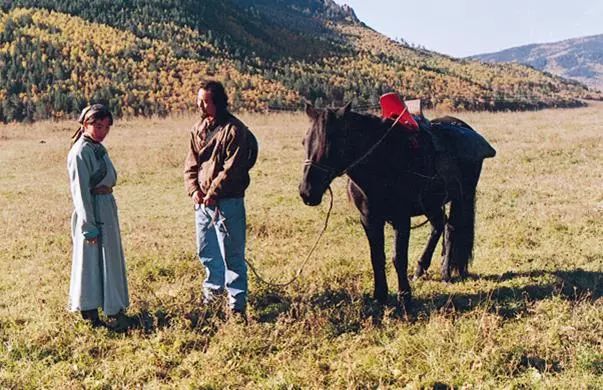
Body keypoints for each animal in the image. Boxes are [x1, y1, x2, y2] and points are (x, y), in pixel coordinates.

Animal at [300, 102, 496, 306]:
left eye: (332, 143)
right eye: (304, 142)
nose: (307, 191)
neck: (383, 163)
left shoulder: (401, 219)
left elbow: (398, 258)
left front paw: (404, 297)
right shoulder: (369, 219)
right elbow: (377, 257)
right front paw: (380, 295)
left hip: (462, 196)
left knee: (452, 228)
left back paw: (445, 271)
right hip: (431, 204)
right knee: (439, 225)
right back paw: (421, 269)